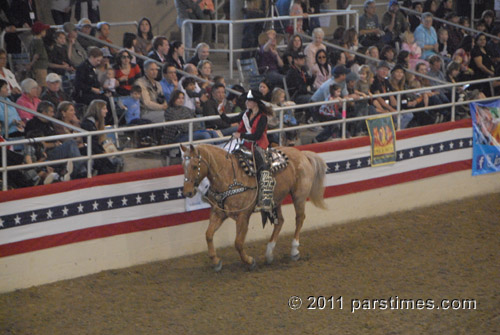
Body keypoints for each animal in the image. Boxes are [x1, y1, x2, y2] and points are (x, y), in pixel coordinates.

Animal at [181, 143, 328, 272]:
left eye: (194, 166)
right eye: (183, 166)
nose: (187, 192)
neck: (229, 176)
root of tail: (302, 154)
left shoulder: (243, 216)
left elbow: (238, 243)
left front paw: (250, 261)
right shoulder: (218, 213)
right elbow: (208, 235)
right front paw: (216, 262)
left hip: (299, 196)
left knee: (299, 218)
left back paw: (294, 250)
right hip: (276, 200)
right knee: (279, 222)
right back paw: (269, 254)